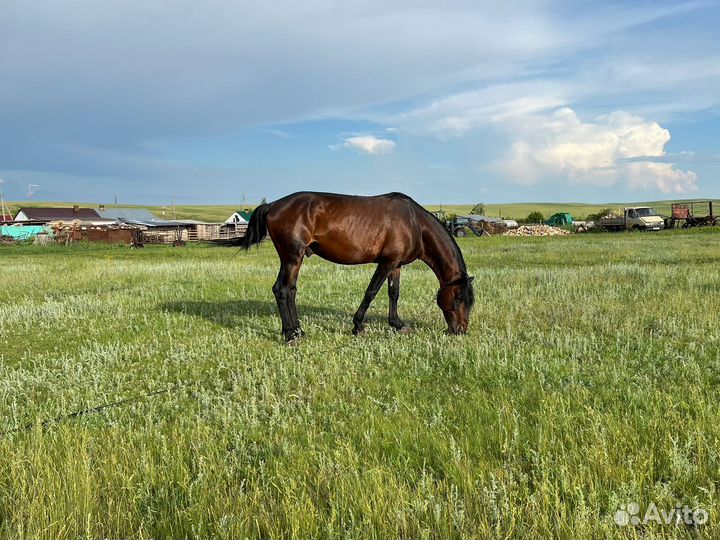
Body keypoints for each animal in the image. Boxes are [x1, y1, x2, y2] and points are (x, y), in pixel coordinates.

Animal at [245, 191, 476, 342]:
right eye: (458, 298)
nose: (461, 330)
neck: (414, 223)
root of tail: (273, 205)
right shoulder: (386, 263)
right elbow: (371, 292)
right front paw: (358, 326)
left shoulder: (396, 265)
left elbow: (394, 293)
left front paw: (398, 324)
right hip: (292, 258)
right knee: (283, 290)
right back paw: (290, 335)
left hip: (294, 259)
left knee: (289, 291)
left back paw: (298, 331)